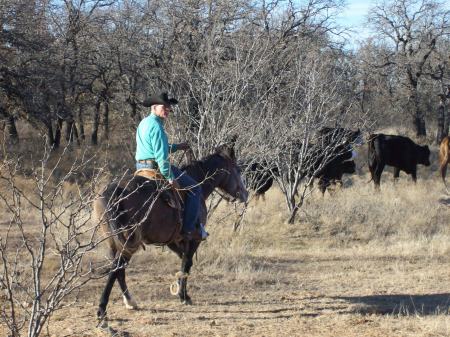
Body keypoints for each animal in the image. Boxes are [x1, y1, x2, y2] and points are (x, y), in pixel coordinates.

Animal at [92, 142, 248, 322]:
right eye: (238, 169)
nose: (245, 194)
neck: (198, 183)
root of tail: (114, 190)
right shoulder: (193, 239)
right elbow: (187, 263)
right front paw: (184, 296)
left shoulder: (173, 240)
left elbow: (183, 261)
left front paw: (181, 290)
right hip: (128, 240)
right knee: (117, 268)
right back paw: (102, 310)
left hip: (113, 241)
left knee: (118, 270)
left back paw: (130, 302)